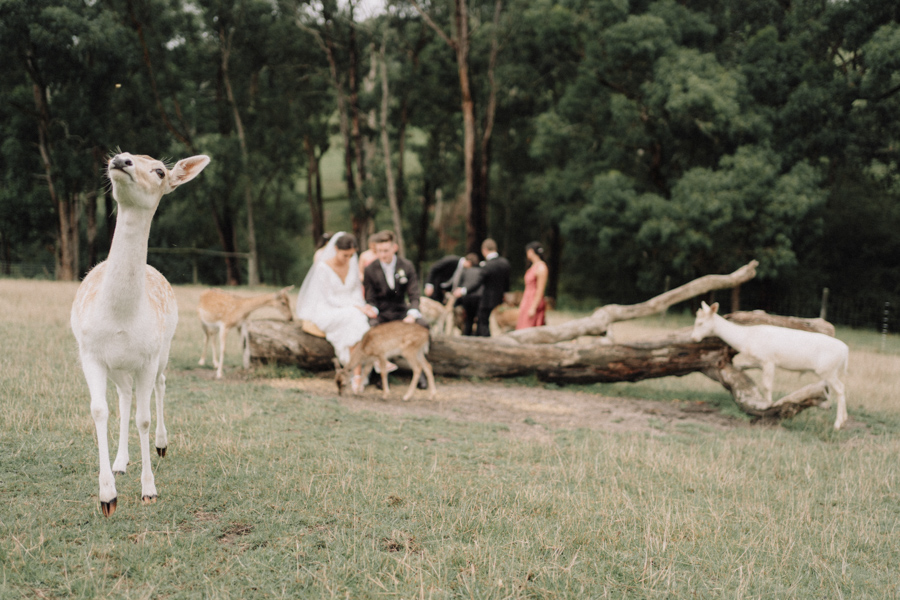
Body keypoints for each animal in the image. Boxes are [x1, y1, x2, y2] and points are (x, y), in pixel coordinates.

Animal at [71, 150, 211, 516]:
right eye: (126, 152)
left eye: (160, 171)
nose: (121, 160)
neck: (122, 316)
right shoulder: (90, 353)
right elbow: (100, 410)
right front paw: (107, 495)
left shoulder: (147, 357)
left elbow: (144, 419)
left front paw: (149, 490)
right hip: (119, 367)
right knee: (124, 397)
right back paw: (121, 462)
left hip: (165, 348)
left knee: (160, 385)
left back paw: (162, 445)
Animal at [692, 302, 848, 428]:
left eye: (700, 323)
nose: (694, 338)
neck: (745, 339)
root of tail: (845, 351)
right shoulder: (760, 360)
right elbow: (744, 365)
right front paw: (739, 368)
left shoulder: (768, 360)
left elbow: (767, 385)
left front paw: (767, 405)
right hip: (831, 371)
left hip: (827, 370)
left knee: (840, 389)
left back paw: (838, 423)